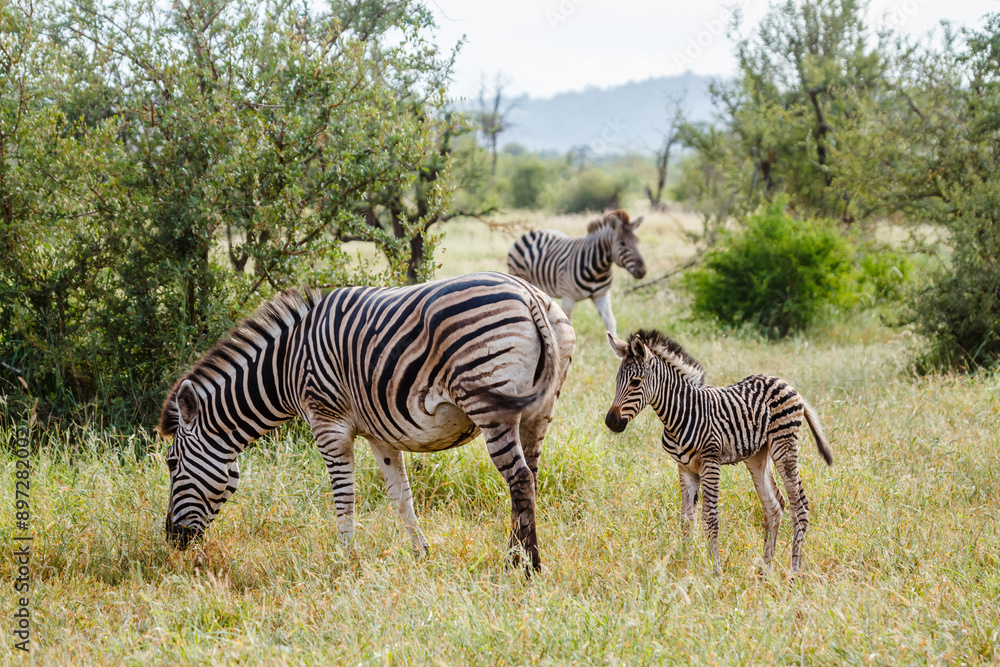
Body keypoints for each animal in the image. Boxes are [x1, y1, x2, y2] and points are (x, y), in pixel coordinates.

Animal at [158, 272, 575, 572]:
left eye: (172, 463)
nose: (171, 538)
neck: (284, 366)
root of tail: (530, 296)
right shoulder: (381, 432)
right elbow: (401, 496)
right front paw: (421, 553)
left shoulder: (327, 424)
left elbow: (344, 495)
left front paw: (343, 558)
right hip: (539, 411)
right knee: (530, 478)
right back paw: (517, 557)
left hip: (489, 402)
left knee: (518, 479)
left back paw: (525, 567)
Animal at [506, 209, 646, 338]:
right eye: (622, 243)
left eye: (638, 241)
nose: (642, 271)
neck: (599, 270)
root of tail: (531, 232)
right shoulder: (568, 296)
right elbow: (567, 323)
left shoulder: (602, 295)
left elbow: (610, 321)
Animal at [603, 329, 833, 574]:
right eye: (617, 381)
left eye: (635, 382)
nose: (611, 422)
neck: (679, 414)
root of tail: (785, 383)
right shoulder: (685, 468)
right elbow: (687, 519)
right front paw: (685, 566)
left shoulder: (710, 462)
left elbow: (710, 517)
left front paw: (715, 571)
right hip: (757, 456)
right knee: (774, 506)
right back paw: (765, 571)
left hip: (784, 444)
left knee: (799, 505)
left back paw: (794, 571)